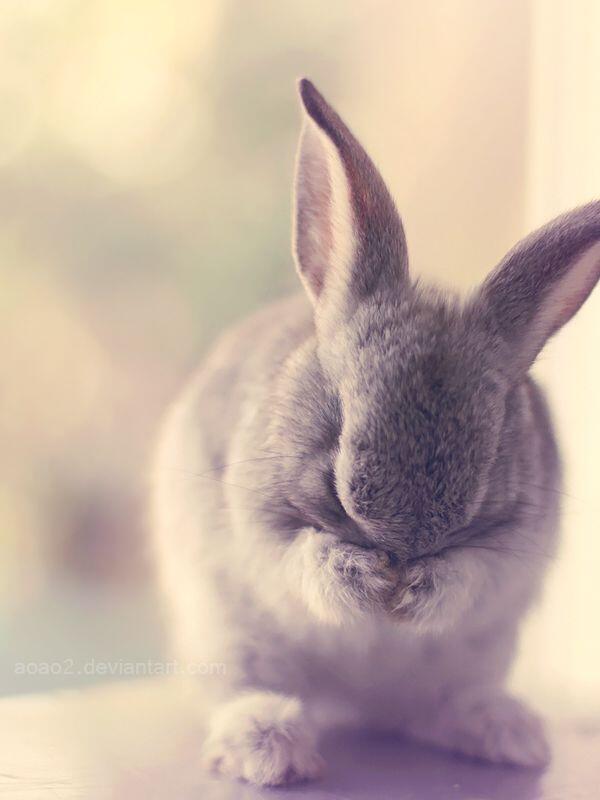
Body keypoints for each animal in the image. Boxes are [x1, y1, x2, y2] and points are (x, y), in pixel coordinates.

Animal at [151, 78, 600, 787]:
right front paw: (361, 577)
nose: (400, 551)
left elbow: (469, 574)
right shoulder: (260, 533)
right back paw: (270, 747)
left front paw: (419, 591)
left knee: (434, 712)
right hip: (228, 637)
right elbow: (302, 559)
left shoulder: (509, 553)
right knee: (248, 691)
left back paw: (508, 734)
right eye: (337, 415)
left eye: (493, 441)